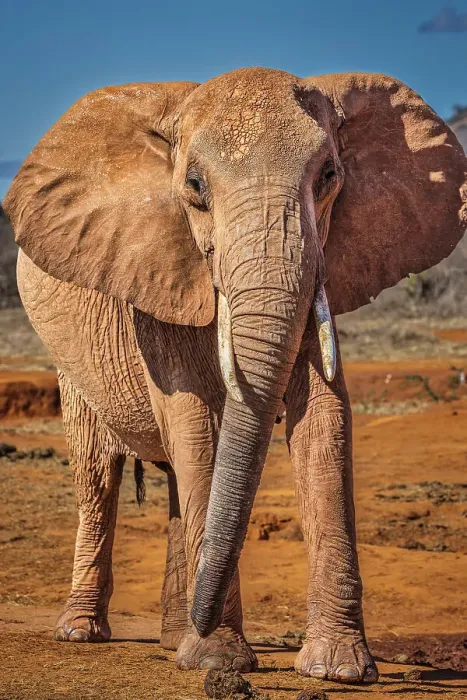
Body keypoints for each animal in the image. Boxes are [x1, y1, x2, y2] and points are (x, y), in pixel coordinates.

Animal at [4, 67, 466, 684]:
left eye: (329, 176)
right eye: (195, 185)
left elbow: (324, 420)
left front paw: (338, 670)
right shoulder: (156, 279)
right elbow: (197, 421)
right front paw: (218, 659)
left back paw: (172, 638)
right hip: (67, 363)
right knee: (98, 472)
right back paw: (84, 632)